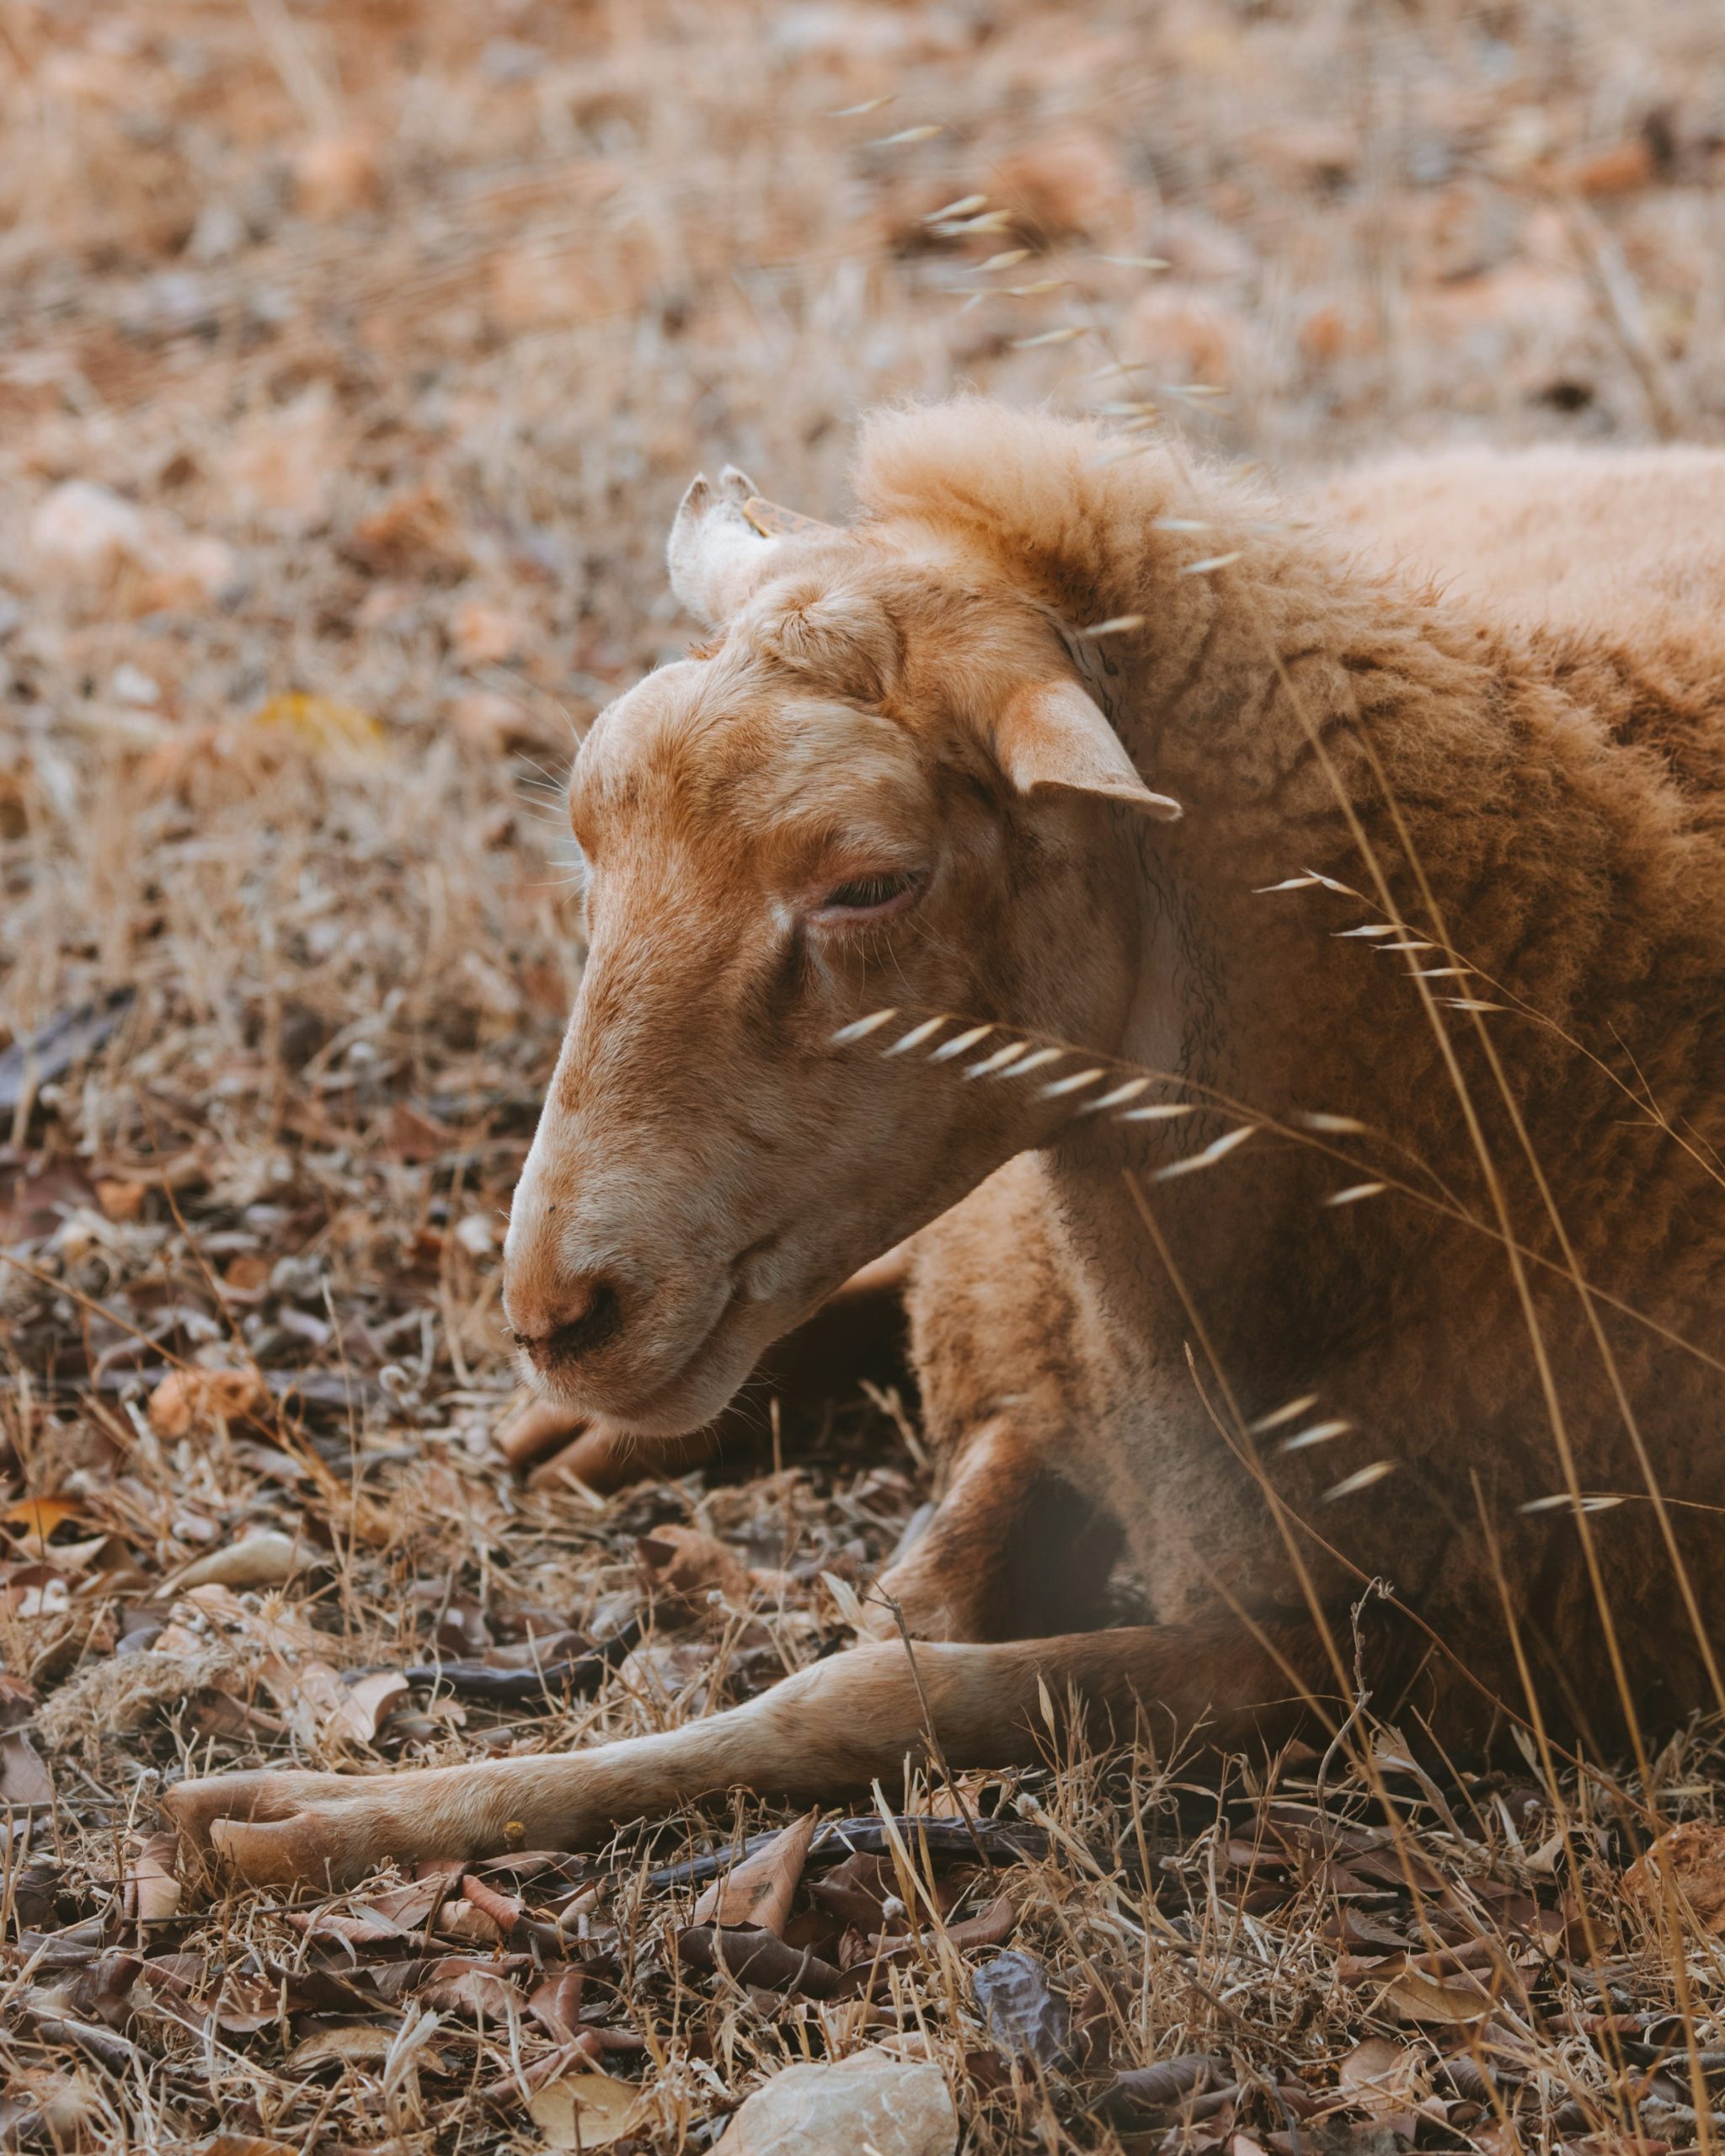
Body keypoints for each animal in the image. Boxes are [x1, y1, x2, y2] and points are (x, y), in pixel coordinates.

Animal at [167, 400, 1725, 1887]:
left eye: (871, 884)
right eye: (590, 843)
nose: (561, 1314)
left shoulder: (1421, 1650)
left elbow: (875, 1689)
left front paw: (320, 1815)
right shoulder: (1036, 1366)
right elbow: (910, 1610)